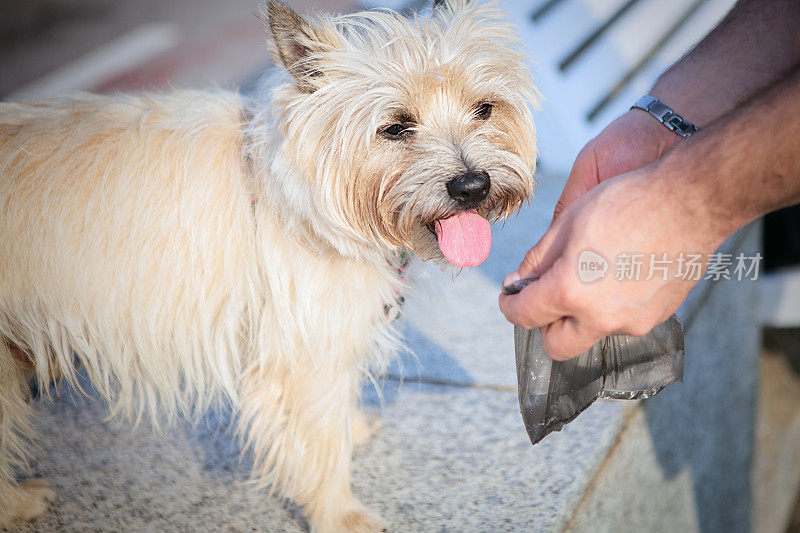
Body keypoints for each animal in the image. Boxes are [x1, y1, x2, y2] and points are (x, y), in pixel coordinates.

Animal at [0, 2, 540, 528]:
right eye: (395, 127)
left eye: (484, 109)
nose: (473, 186)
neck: (302, 196)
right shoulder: (306, 349)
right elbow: (320, 439)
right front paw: (339, 514)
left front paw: (350, 433)